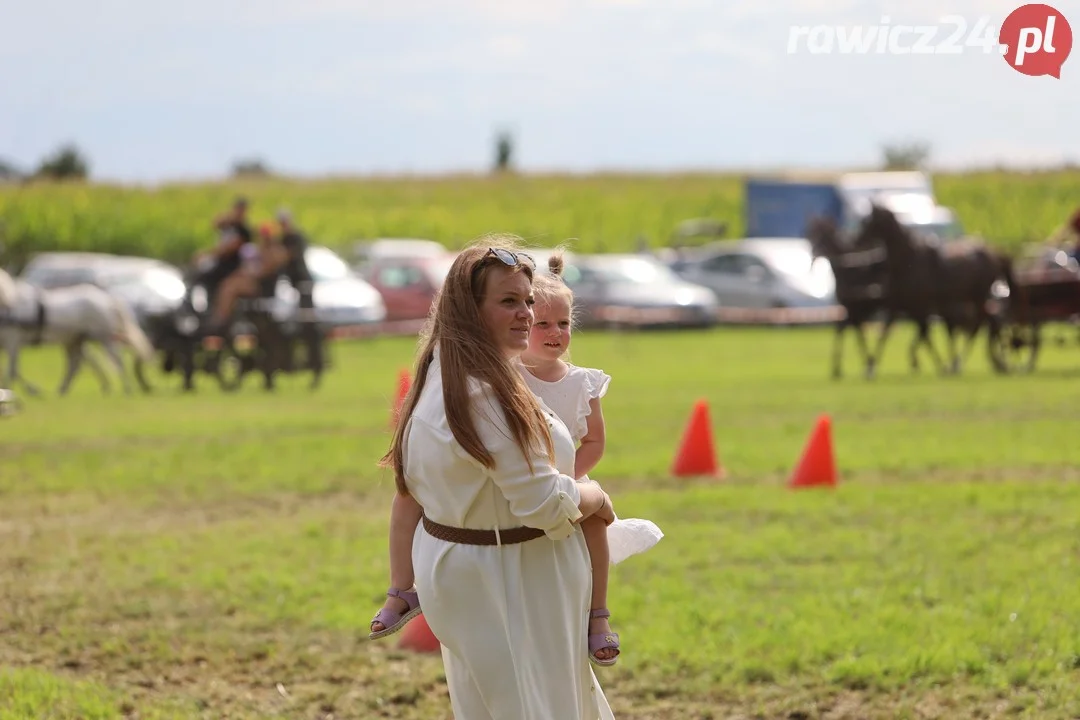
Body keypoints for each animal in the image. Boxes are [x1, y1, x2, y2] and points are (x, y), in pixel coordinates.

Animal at [0, 267, 157, 397]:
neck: (9, 303)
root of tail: (108, 300)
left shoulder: (13, 341)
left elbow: (11, 370)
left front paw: (23, 390)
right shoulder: (11, 344)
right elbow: (13, 369)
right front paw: (22, 390)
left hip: (104, 338)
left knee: (117, 360)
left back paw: (126, 388)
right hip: (74, 340)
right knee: (75, 365)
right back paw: (64, 389)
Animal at [851, 201, 1010, 375]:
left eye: (869, 222)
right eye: (864, 221)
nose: (856, 241)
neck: (908, 263)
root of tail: (991, 253)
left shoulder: (921, 308)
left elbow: (924, 334)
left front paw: (933, 364)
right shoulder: (898, 306)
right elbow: (886, 333)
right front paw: (871, 366)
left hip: (978, 298)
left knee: (983, 324)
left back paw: (971, 362)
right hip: (972, 299)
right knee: (986, 323)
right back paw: (986, 362)